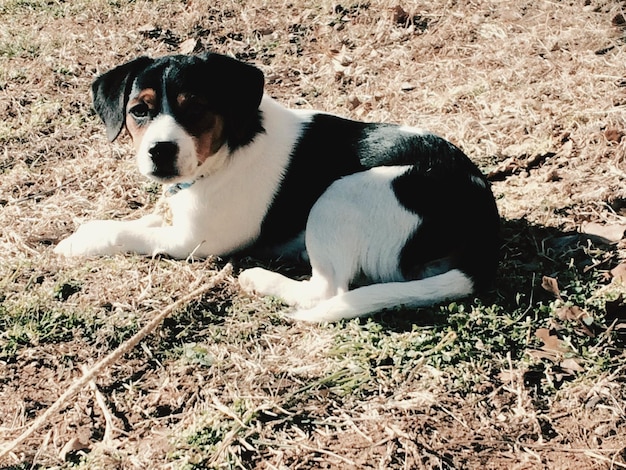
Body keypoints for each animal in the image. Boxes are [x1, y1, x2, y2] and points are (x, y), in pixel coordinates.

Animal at [56, 52, 500, 324]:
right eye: (139, 111)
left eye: (195, 108)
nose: (159, 151)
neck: (229, 148)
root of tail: (483, 229)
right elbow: (136, 221)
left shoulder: (195, 242)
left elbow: (123, 232)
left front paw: (78, 243)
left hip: (340, 196)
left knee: (326, 290)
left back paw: (260, 278)